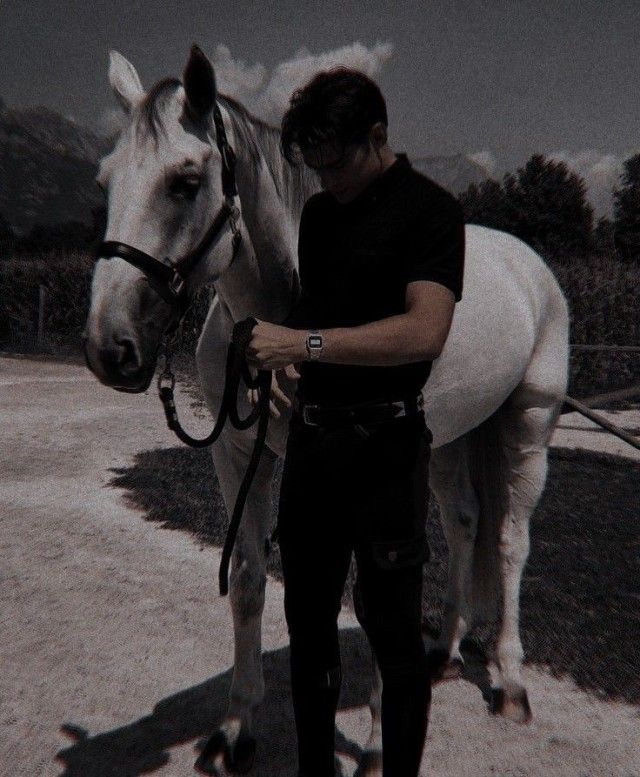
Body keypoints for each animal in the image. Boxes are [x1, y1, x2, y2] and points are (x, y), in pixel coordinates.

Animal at [85, 47, 568, 768]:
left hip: (528, 425)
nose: (108, 347)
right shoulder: (239, 452)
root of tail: (528, 264)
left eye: (185, 181)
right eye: (106, 180)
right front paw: (237, 727)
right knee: (464, 523)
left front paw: (377, 744)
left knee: (510, 540)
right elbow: (251, 579)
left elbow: (372, 596)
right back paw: (443, 650)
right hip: (453, 438)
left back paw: (509, 680)